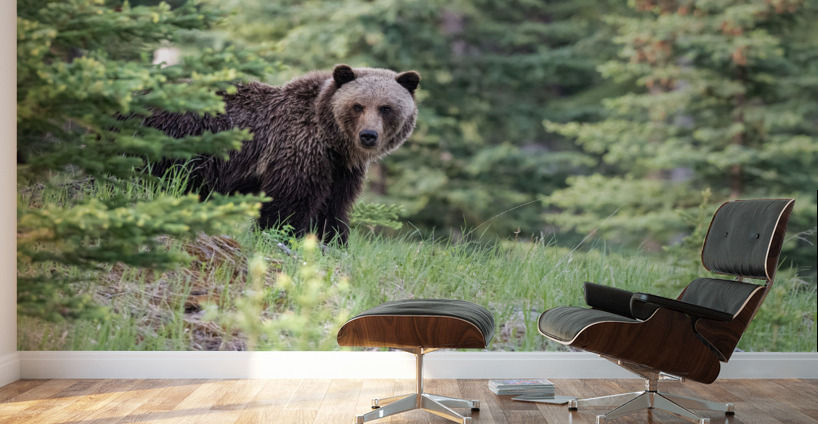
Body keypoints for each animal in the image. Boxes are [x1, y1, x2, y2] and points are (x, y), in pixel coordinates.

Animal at [145, 64, 420, 244]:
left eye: (386, 108)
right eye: (357, 106)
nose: (368, 135)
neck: (331, 141)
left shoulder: (340, 169)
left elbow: (333, 208)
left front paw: (332, 242)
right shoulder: (298, 149)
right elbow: (289, 203)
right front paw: (281, 237)